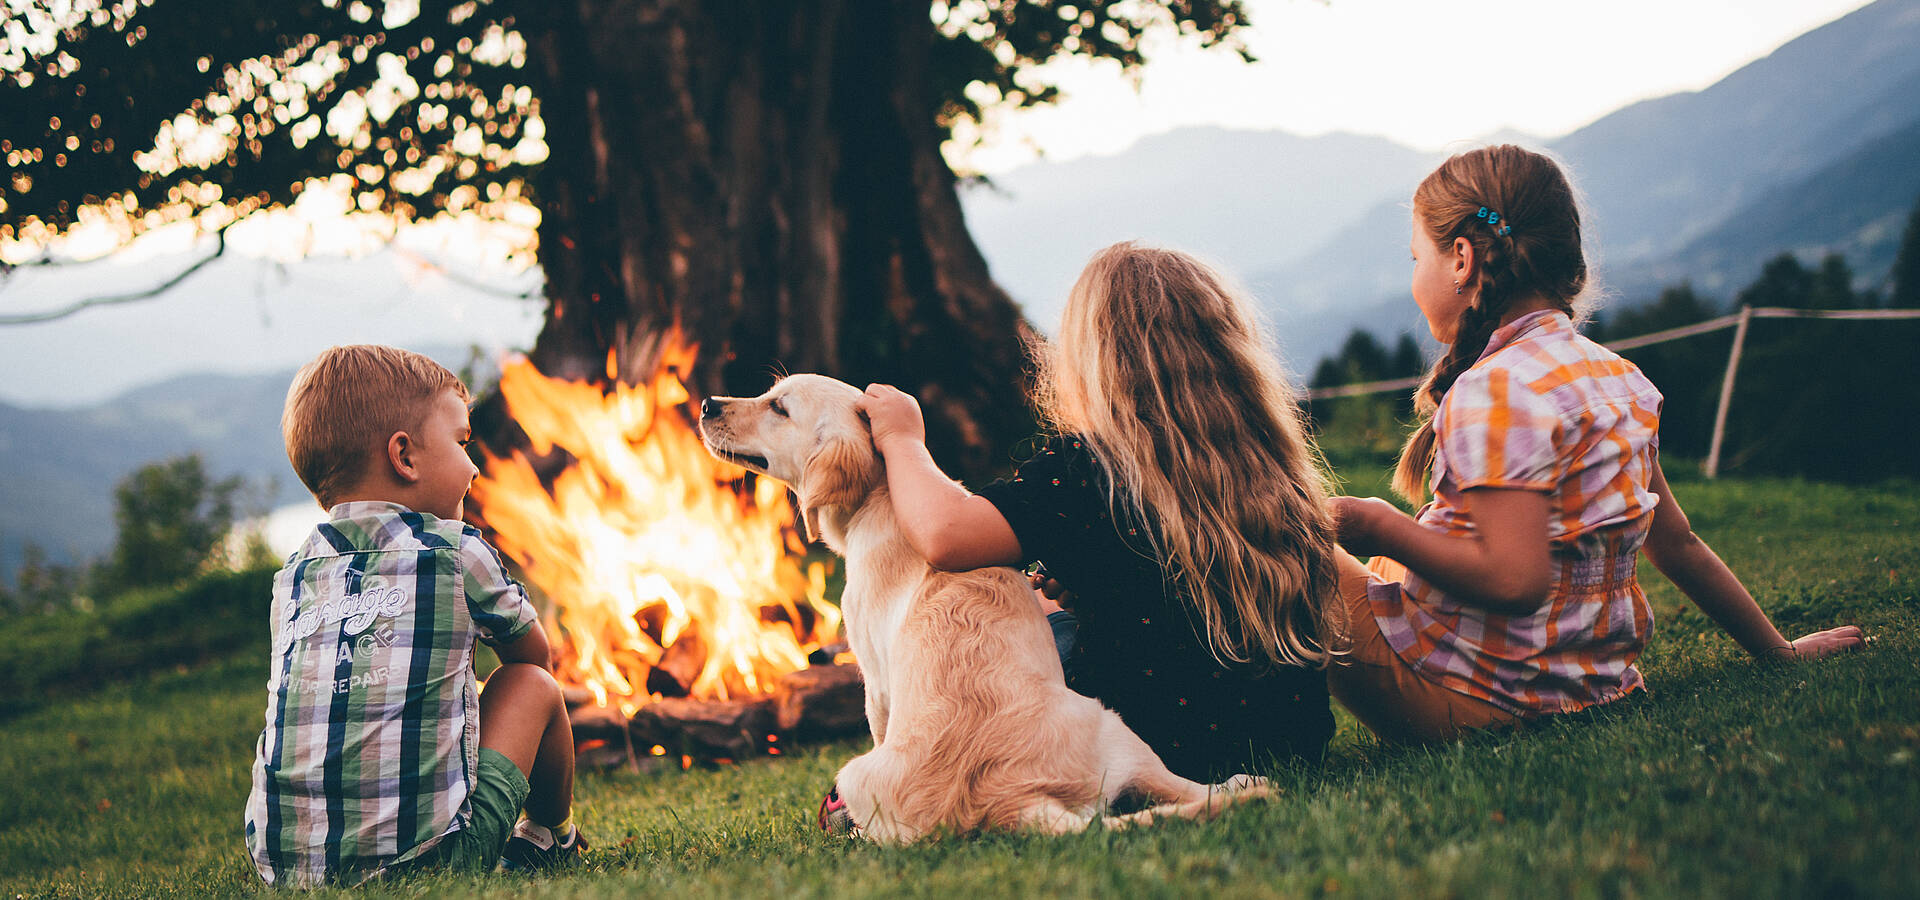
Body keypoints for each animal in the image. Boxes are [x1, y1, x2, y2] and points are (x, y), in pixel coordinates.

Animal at [698, 372, 1267, 840]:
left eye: (778, 407)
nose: (705, 403)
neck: (885, 499)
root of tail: (1005, 802)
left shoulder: (875, 682)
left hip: (1097, 724)